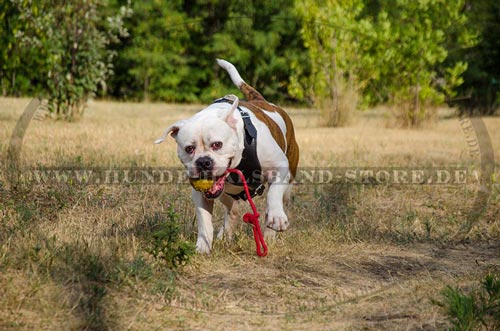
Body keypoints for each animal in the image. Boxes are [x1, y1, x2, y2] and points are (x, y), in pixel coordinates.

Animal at [154, 59, 298, 254]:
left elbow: (273, 193)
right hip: (226, 194)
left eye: (217, 144)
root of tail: (262, 101)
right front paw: (203, 246)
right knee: (232, 210)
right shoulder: (201, 194)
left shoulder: (279, 165)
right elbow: (204, 220)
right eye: (189, 148)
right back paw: (225, 234)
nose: (203, 162)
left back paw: (269, 232)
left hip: (289, 174)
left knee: (281, 196)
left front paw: (275, 216)